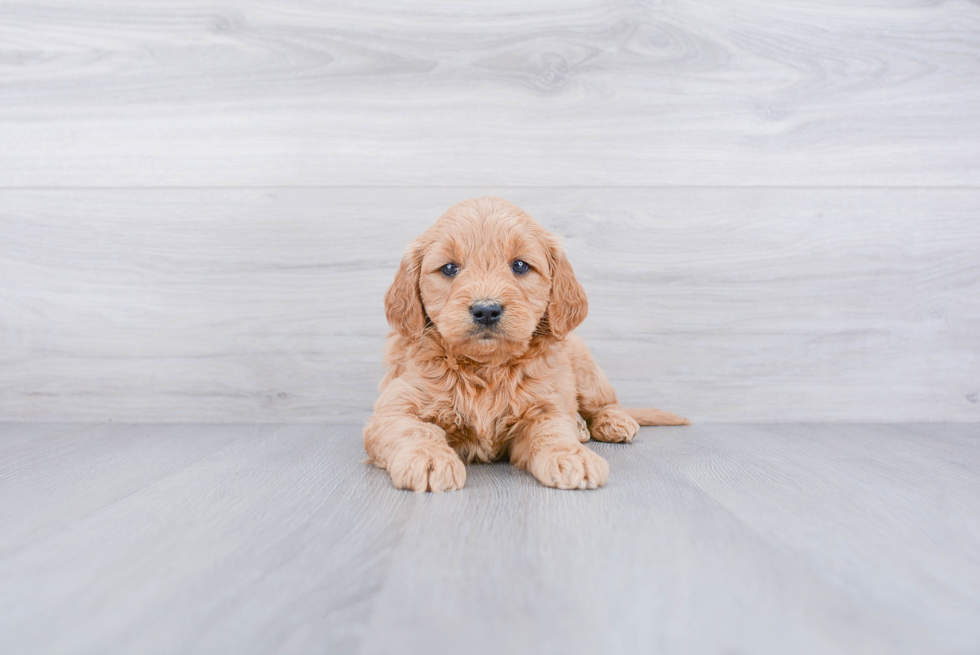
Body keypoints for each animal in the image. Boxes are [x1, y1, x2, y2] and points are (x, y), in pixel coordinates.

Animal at [362, 197, 688, 494]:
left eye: (520, 266)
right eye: (449, 268)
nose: (486, 310)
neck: (486, 369)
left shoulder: (545, 404)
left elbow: (552, 431)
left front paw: (572, 457)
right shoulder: (395, 405)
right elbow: (412, 429)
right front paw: (429, 460)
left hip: (586, 371)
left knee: (606, 402)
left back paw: (611, 422)